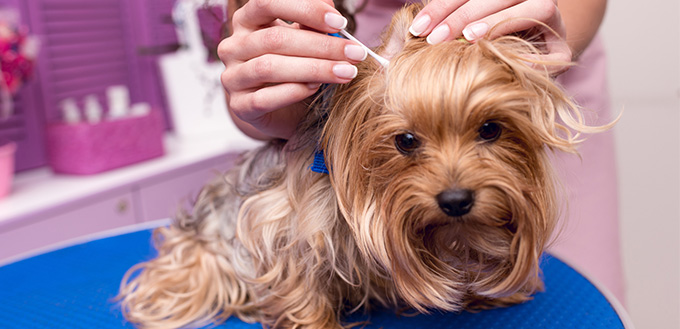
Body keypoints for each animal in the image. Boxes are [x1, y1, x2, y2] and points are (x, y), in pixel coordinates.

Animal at [118, 3, 612, 326]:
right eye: (405, 141)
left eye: (490, 129)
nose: (455, 200)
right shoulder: (280, 223)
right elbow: (297, 277)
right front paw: (311, 321)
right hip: (201, 254)